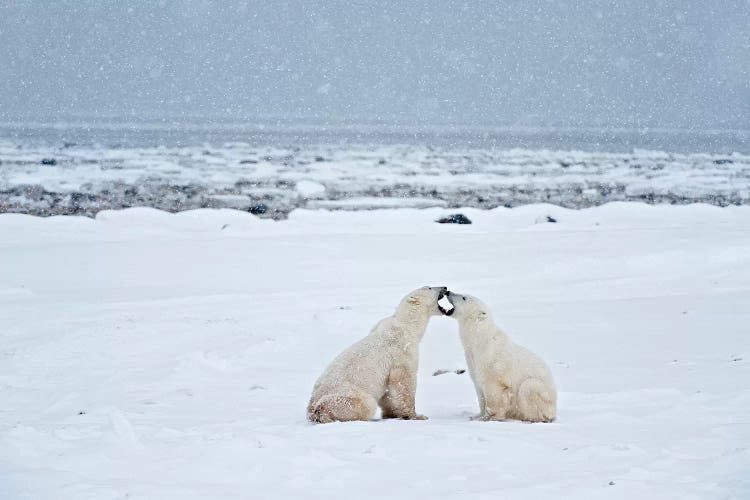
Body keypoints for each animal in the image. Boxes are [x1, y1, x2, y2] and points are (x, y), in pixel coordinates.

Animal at [306, 288, 446, 424]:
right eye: (430, 287)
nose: (445, 288)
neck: (406, 324)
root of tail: (313, 409)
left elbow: (388, 391)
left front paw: (391, 414)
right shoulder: (402, 350)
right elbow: (403, 381)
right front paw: (416, 416)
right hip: (346, 398)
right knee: (366, 405)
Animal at [440, 292, 560, 424]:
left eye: (464, 297)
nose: (448, 292)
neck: (479, 339)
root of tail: (554, 409)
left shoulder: (491, 361)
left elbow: (493, 390)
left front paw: (489, 418)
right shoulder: (472, 360)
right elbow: (479, 388)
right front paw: (476, 416)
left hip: (543, 394)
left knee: (528, 388)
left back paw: (531, 418)